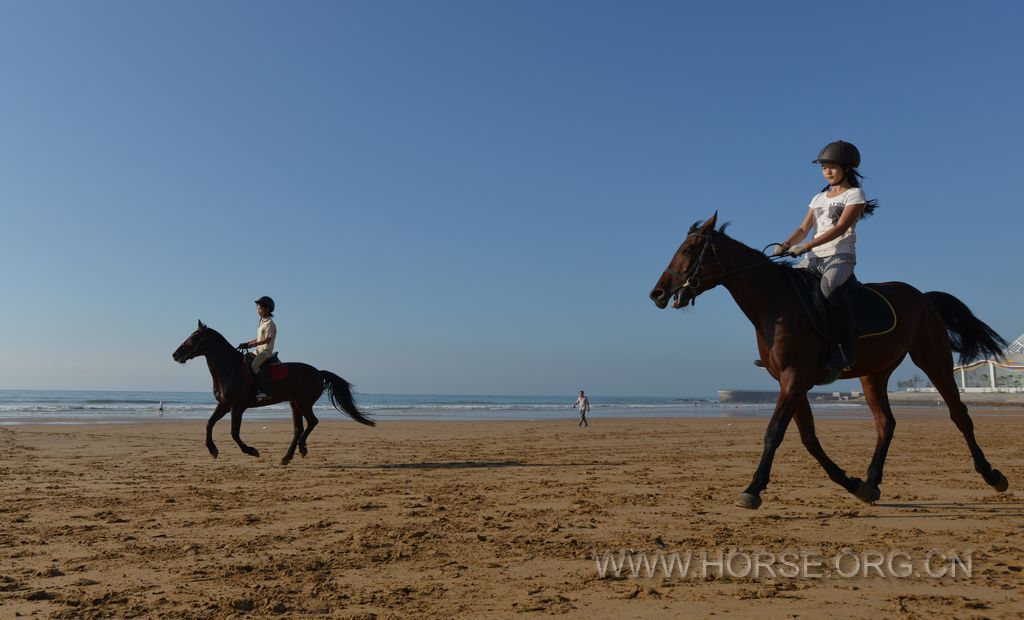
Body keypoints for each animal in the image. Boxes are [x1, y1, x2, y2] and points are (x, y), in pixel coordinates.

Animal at [172, 321, 376, 461]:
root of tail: (318, 372)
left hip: (303, 402)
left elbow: (234, 433)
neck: (229, 368)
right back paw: (290, 455)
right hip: (295, 403)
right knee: (298, 428)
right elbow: (209, 424)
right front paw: (213, 449)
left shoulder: (237, 407)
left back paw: (299, 449)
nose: (175, 355)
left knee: (312, 422)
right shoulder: (224, 405)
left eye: (194, 337)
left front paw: (251, 451)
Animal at [647, 213, 1007, 508]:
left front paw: (752, 490)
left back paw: (992, 476)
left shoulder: (795, 379)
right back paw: (872, 483)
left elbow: (774, 432)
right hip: (874, 374)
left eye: (689, 249)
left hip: (933, 359)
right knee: (885, 423)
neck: (776, 307)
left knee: (958, 415)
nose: (657, 294)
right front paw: (852, 484)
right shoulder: (791, 382)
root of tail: (923, 297)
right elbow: (809, 440)